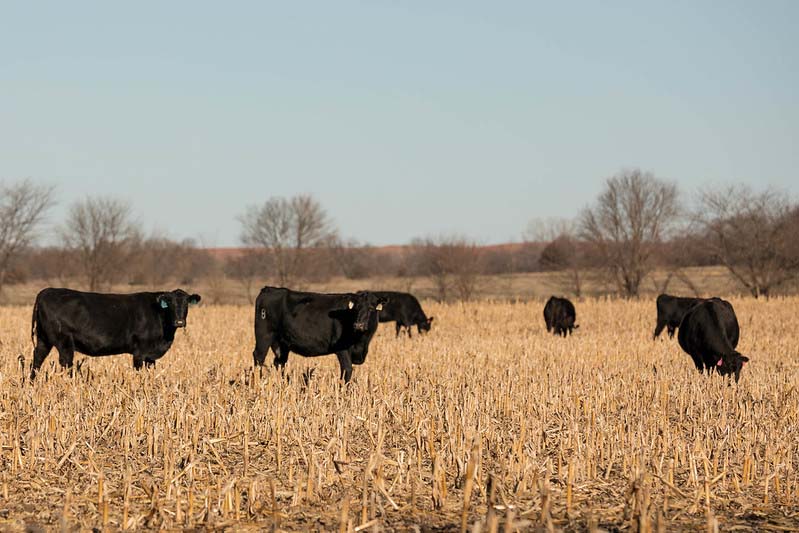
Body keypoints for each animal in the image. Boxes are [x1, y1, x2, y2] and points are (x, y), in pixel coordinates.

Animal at [30, 288, 201, 379]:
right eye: (170, 303)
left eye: (186, 303)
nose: (179, 322)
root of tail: (47, 291)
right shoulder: (140, 351)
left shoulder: (151, 356)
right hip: (63, 341)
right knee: (66, 362)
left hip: (43, 339)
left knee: (37, 359)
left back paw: (32, 383)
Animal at [252, 287, 388, 383]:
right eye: (356, 308)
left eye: (371, 308)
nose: (359, 325)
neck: (361, 342)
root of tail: (269, 289)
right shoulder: (342, 349)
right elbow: (347, 370)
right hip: (264, 335)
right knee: (259, 357)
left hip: (282, 342)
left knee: (280, 363)